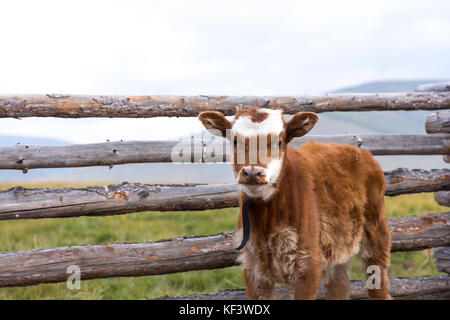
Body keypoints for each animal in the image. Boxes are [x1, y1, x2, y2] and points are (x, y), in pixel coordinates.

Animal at [199, 107, 392, 300]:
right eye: (235, 140)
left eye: (279, 142)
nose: (253, 172)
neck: (267, 219)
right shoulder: (252, 268)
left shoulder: (308, 263)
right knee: (339, 285)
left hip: (376, 235)